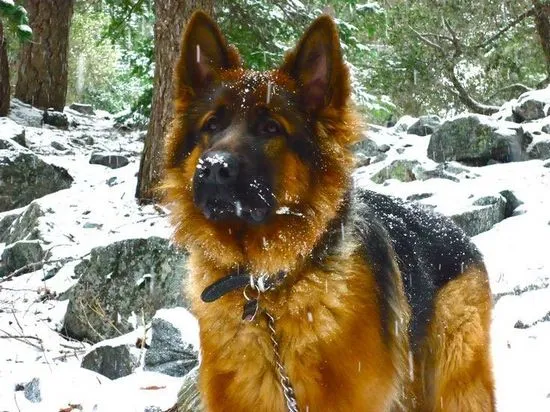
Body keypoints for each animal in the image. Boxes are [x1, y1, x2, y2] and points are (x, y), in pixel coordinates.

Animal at [162, 10, 498, 412]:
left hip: (455, 382)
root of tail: (455, 230)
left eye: (271, 127)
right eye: (211, 125)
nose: (213, 168)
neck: (265, 288)